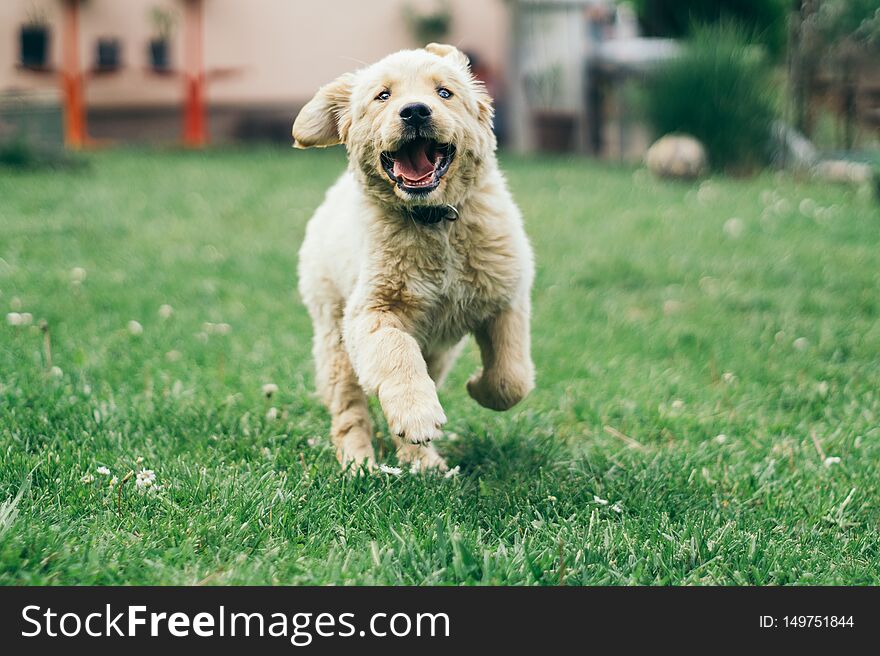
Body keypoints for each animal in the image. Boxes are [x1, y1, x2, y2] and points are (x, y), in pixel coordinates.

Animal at [292, 43, 532, 472]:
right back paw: (359, 463)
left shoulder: (507, 300)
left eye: (444, 93)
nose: (415, 111)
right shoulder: (370, 310)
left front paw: (479, 386)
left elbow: (512, 377)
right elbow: (395, 353)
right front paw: (416, 413)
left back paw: (425, 463)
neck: (435, 221)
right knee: (349, 409)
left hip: (437, 351)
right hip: (335, 338)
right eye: (383, 96)